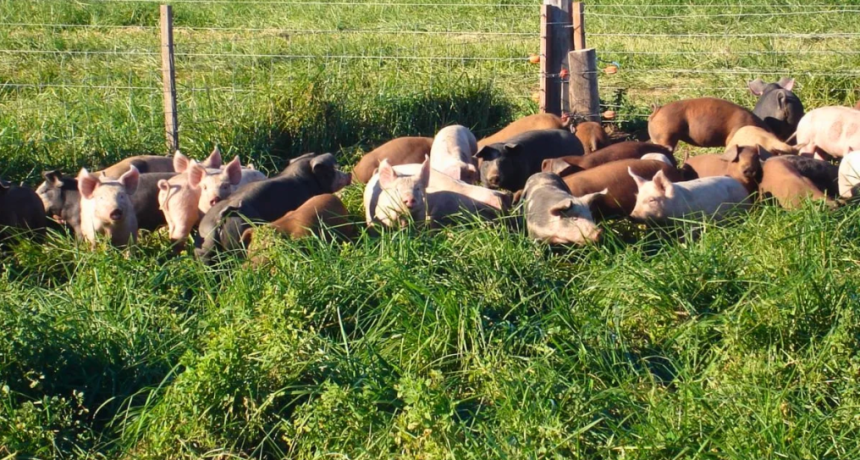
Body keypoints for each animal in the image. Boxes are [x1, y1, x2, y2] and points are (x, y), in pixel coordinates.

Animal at [195, 153, 351, 264]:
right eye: (330, 170)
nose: (349, 175)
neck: (304, 179)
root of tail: (219, 219)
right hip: (236, 237)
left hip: (204, 251)